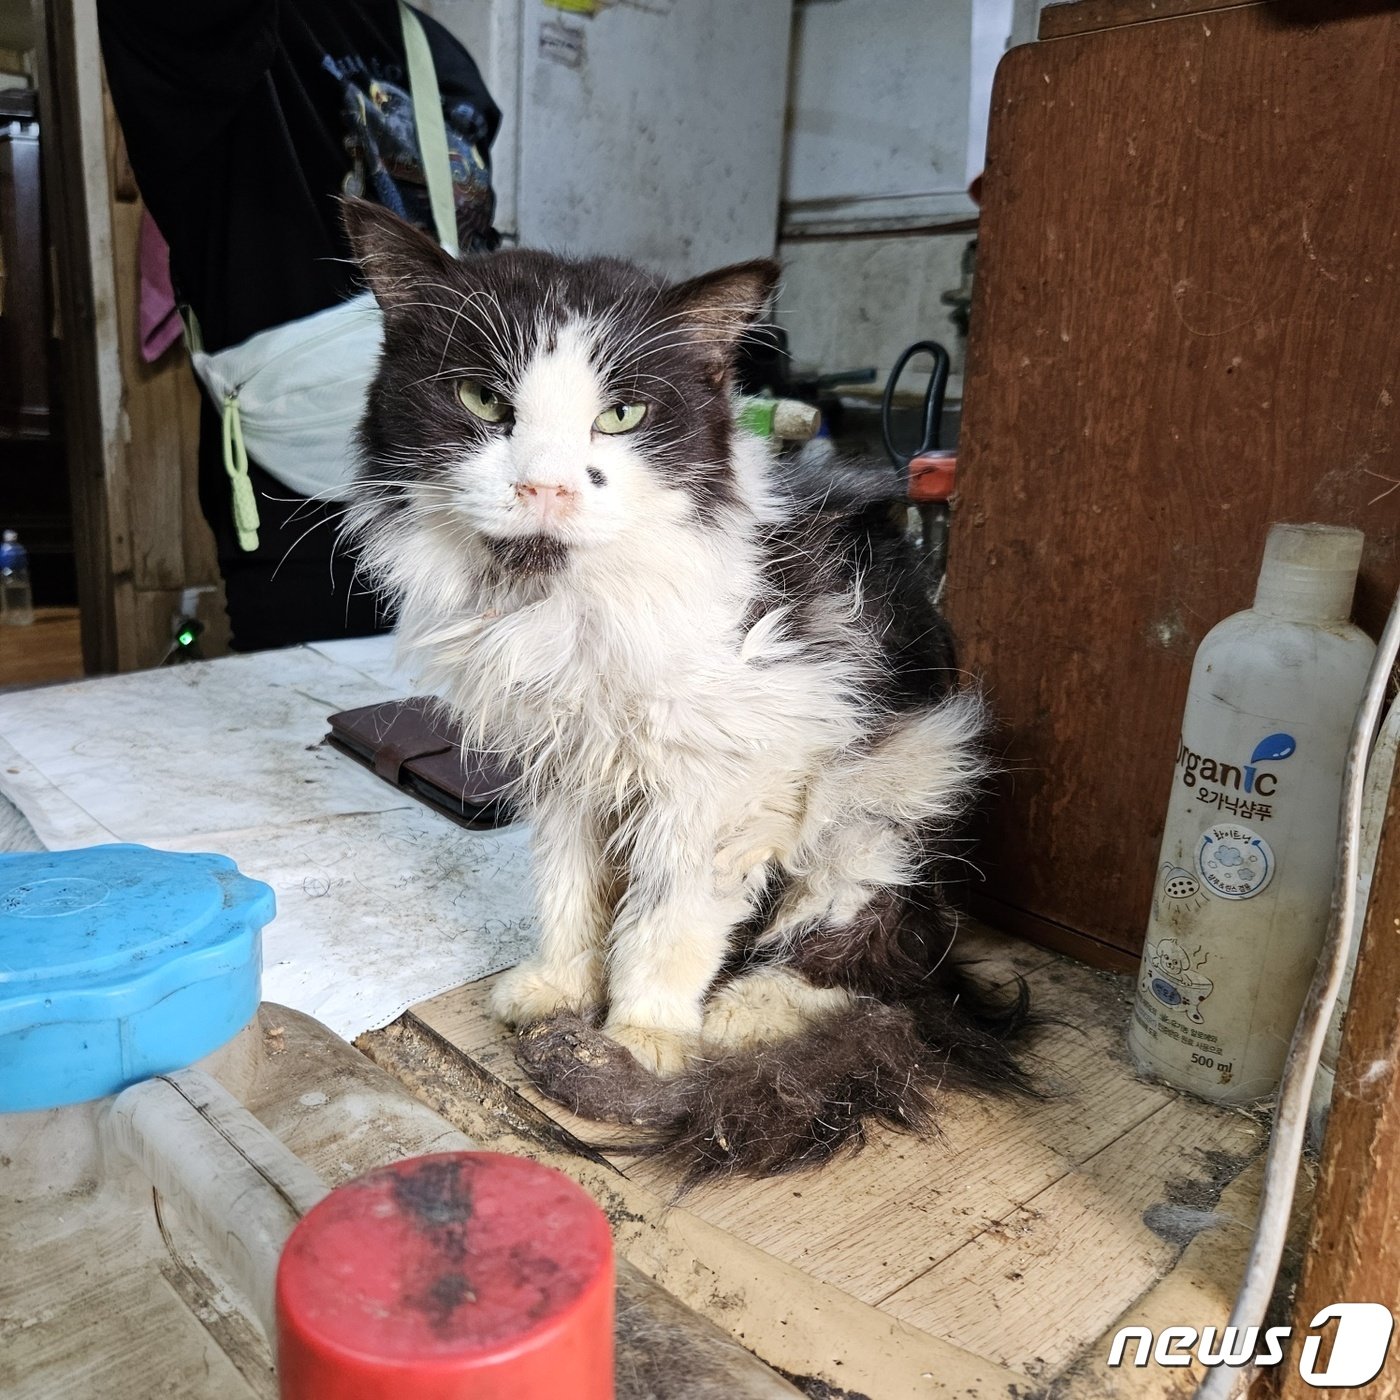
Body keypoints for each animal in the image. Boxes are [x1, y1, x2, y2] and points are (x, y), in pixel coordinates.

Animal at [344, 200, 1036, 1181]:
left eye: (621, 415)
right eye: (482, 401)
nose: (544, 486)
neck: (564, 608)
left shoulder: (720, 783)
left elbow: (666, 921)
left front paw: (644, 1035)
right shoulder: (565, 771)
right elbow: (568, 892)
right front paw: (557, 988)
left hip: (889, 800)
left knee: (869, 960)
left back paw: (743, 1016)